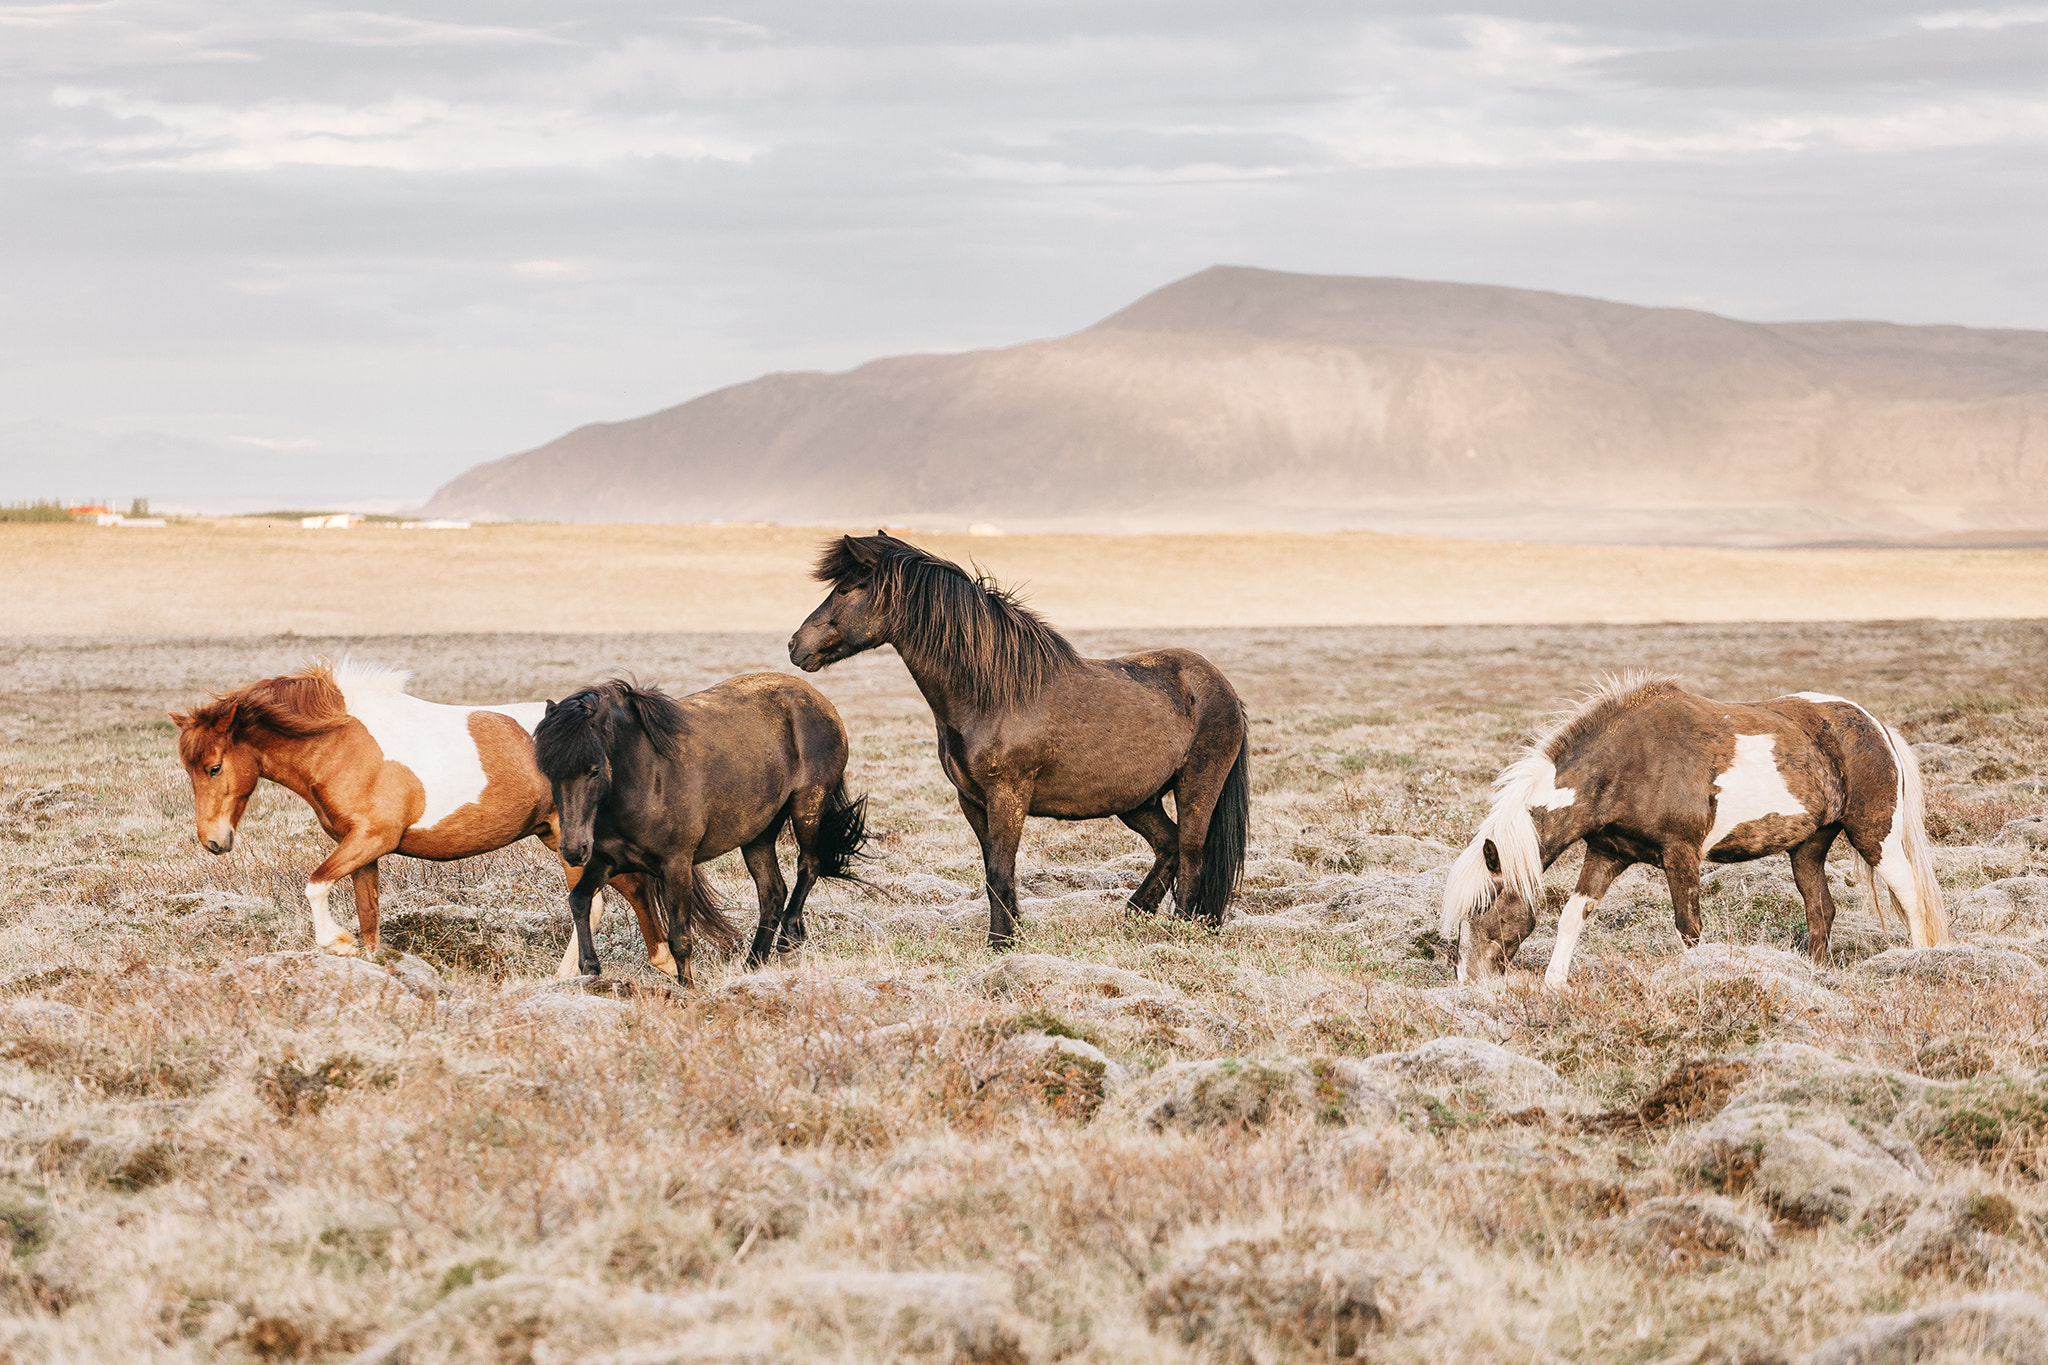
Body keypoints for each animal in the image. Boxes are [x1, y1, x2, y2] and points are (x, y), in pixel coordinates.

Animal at [170, 659, 676, 979]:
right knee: (610, 897)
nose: (214, 841)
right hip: (561, 839)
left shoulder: (372, 838)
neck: (341, 742)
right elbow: (369, 917)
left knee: (611, 897)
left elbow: (315, 884)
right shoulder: (363, 850)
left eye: (213, 767)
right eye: (190, 768)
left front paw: (336, 942)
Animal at [531, 674, 868, 983]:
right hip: (757, 833)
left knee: (808, 865)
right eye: (548, 771)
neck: (646, 778)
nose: (573, 849)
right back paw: (753, 962)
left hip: (808, 806)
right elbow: (579, 900)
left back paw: (789, 938)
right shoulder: (605, 861)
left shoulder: (676, 865)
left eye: (595, 770)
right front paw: (590, 968)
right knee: (772, 892)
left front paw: (687, 990)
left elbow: (680, 938)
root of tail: (816, 698)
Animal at [788, 532, 1250, 949]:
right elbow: (995, 871)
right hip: (1138, 800)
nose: (795, 645)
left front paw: (998, 942)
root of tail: (1220, 686)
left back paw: (1181, 929)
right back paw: (1136, 914)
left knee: (1191, 851)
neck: (989, 693)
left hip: (1197, 786)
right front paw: (1012, 936)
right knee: (1168, 846)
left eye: (845, 589)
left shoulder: (1007, 796)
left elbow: (999, 870)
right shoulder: (973, 801)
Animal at [1440, 673, 1949, 987]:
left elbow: (1689, 927)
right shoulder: (1607, 854)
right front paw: (1553, 984)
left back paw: (1917, 962)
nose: (1469, 981)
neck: (1628, 763)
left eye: (1484, 904)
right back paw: (1815, 974)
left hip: (1874, 834)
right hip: (1808, 847)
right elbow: (1572, 915)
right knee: (1820, 908)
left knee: (1910, 896)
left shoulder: (1681, 854)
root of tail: (1876, 726)